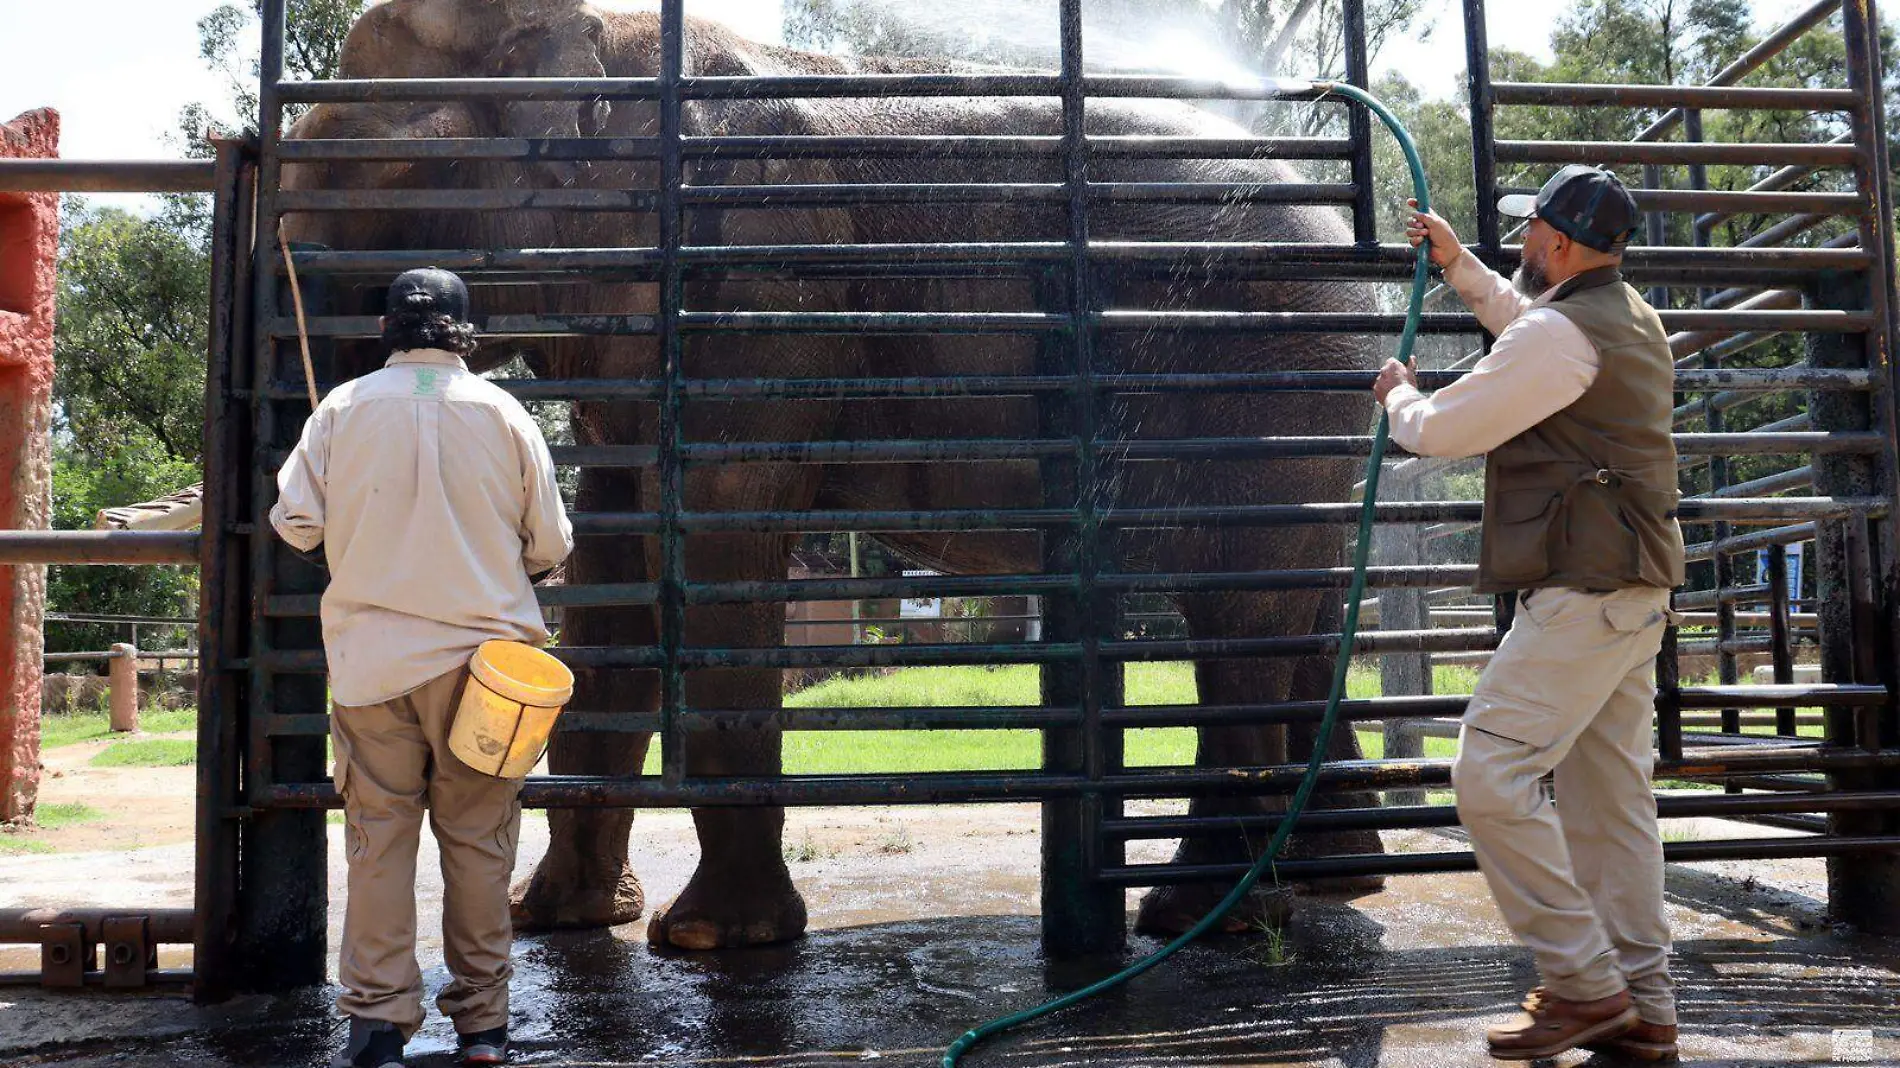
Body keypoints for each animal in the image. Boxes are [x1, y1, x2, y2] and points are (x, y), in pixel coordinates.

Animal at [277, 0, 1383, 946]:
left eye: (371, 171)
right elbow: (612, 576)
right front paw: (557, 921)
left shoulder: (755, 287)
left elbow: (718, 552)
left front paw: (708, 940)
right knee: (1310, 600)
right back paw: (1332, 881)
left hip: (1259, 383)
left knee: (1241, 610)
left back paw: (1199, 916)